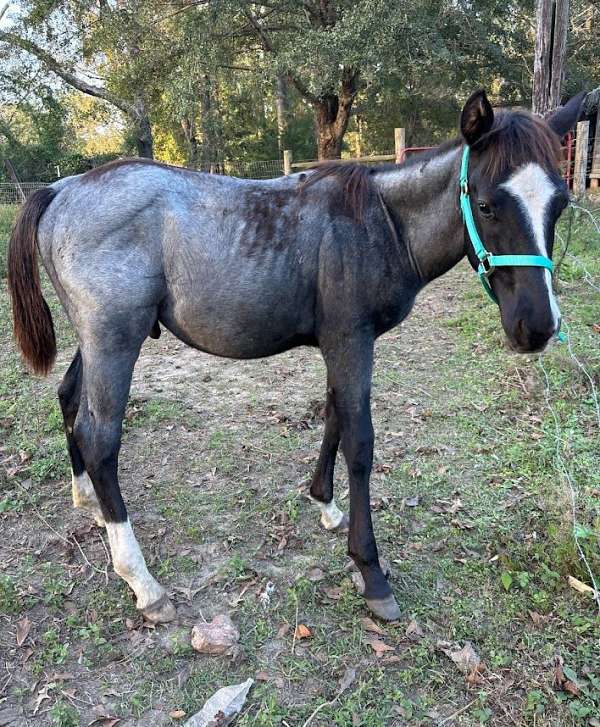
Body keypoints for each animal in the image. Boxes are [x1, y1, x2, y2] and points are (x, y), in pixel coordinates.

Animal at [7, 91, 584, 624]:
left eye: (559, 205)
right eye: (486, 205)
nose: (537, 327)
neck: (380, 222)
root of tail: (62, 189)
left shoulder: (340, 344)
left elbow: (332, 417)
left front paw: (325, 504)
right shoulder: (352, 342)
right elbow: (359, 442)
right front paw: (370, 571)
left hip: (98, 342)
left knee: (69, 401)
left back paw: (87, 501)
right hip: (115, 342)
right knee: (100, 438)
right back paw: (142, 582)